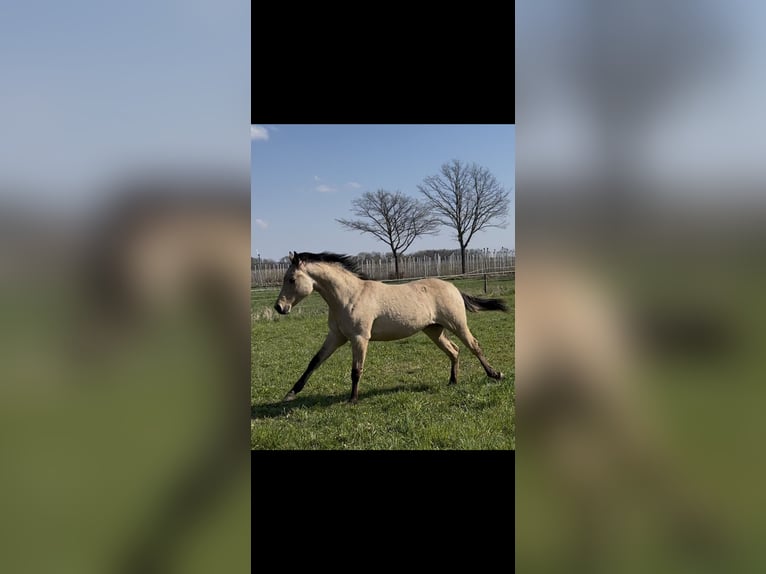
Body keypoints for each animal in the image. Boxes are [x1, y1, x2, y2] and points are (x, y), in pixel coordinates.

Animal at [274, 251, 509, 403]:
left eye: (291, 279)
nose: (279, 307)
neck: (349, 296)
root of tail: (453, 287)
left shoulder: (359, 338)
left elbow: (356, 370)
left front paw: (352, 399)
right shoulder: (336, 336)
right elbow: (314, 361)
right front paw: (290, 394)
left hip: (457, 324)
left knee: (474, 346)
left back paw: (495, 374)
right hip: (434, 330)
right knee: (454, 350)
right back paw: (453, 381)